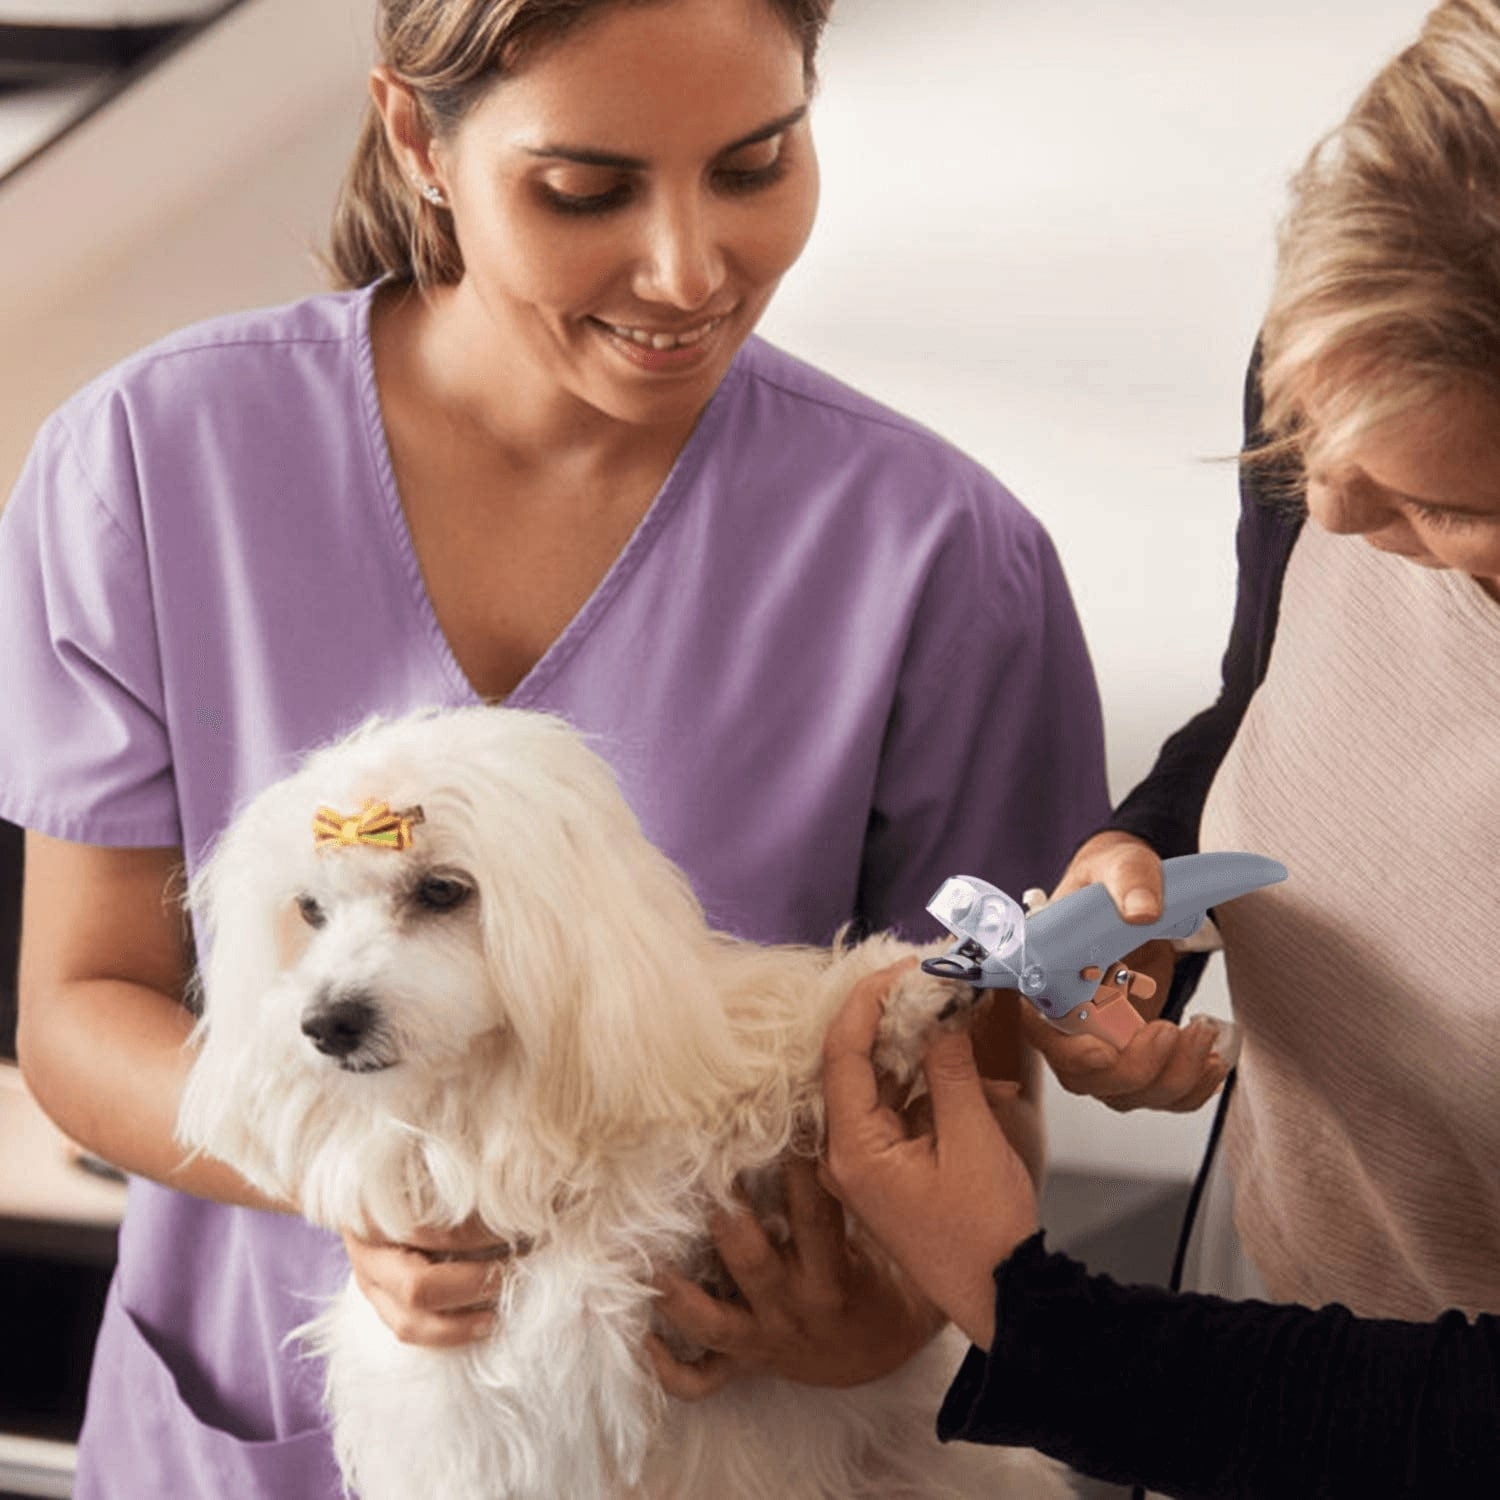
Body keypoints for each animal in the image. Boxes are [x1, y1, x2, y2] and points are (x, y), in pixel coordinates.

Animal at [178, 705, 1068, 1500]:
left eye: (441, 890)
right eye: (310, 911)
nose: (326, 1023)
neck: (507, 1106)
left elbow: (794, 1071)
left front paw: (909, 996)